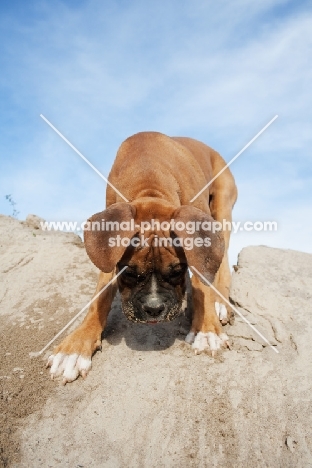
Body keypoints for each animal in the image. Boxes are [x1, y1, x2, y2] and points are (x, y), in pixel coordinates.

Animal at [46, 132, 236, 384]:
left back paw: (220, 302)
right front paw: (75, 348)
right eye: (128, 272)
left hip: (222, 206)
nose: (153, 309)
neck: (150, 183)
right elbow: (100, 297)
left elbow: (201, 284)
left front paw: (207, 329)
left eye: (177, 271)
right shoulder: (108, 248)